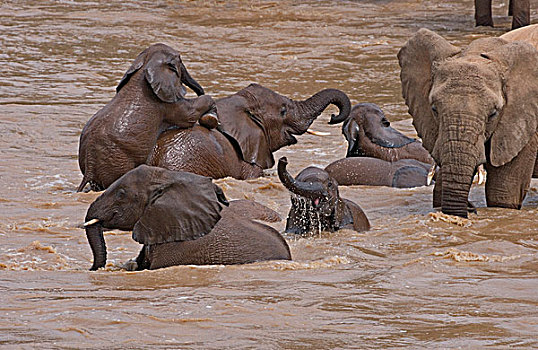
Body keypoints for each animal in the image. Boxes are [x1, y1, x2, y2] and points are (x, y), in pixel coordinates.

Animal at [77, 43, 216, 193]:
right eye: (179, 61)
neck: (145, 64)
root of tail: (89, 166)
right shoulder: (164, 105)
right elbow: (188, 115)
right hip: (116, 161)